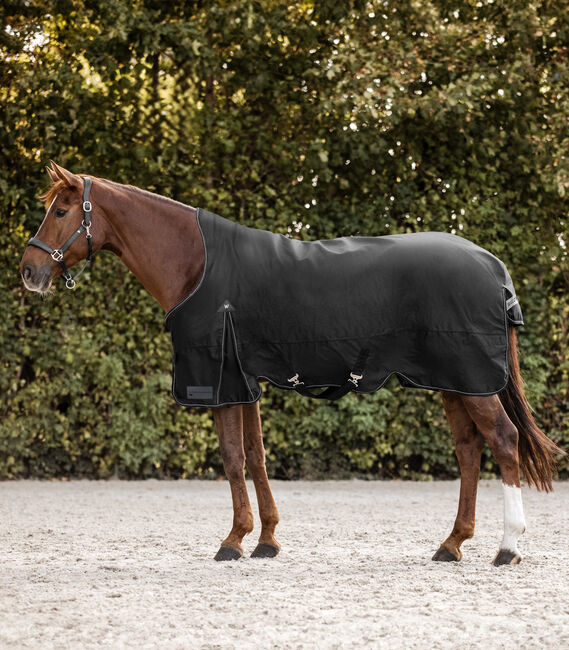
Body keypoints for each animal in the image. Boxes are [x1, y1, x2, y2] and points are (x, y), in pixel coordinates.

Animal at [20, 162, 564, 565]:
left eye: (62, 210)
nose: (29, 271)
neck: (198, 265)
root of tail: (492, 265)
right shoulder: (246, 382)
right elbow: (256, 456)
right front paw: (265, 540)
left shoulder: (222, 381)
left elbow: (233, 458)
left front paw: (232, 541)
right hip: (454, 382)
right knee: (469, 450)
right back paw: (451, 545)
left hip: (474, 382)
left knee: (504, 441)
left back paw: (507, 547)